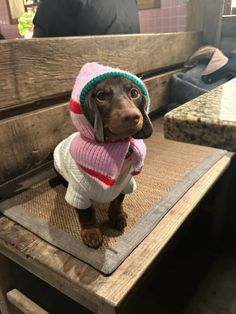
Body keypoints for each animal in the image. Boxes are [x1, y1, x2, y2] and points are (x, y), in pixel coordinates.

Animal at [53, 62, 152, 249]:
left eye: (134, 92)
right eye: (101, 95)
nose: (133, 116)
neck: (115, 147)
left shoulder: (124, 185)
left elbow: (117, 202)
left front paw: (117, 216)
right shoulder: (79, 192)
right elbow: (86, 213)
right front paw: (91, 232)